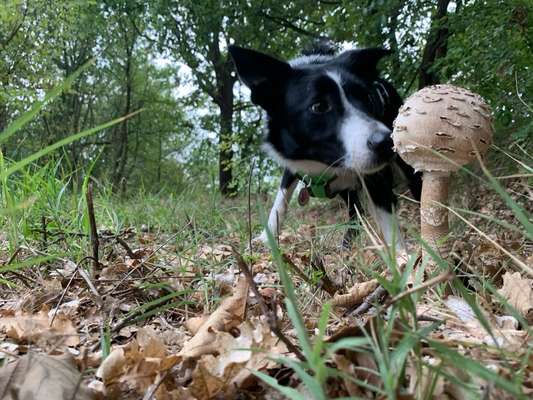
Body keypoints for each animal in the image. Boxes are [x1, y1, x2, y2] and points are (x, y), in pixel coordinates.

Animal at [229, 43, 420, 250]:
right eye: (319, 106)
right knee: (355, 212)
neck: (323, 163)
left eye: (368, 98)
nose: (386, 142)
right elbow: (280, 200)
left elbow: (388, 222)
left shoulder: (374, 178)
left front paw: (401, 256)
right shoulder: (292, 164)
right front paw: (266, 238)